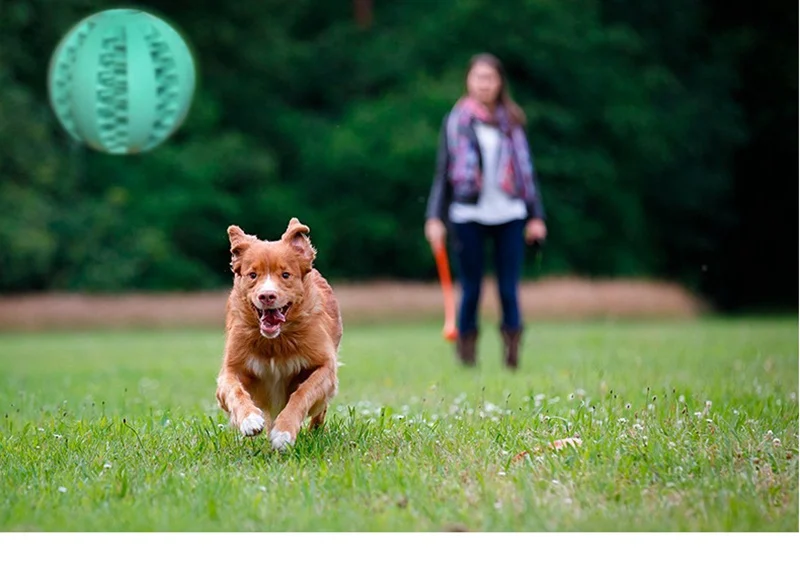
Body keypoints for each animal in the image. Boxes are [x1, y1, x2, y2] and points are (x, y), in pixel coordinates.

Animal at [217, 217, 342, 450]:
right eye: (252, 275)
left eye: (285, 275)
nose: (267, 296)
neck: (275, 342)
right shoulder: (230, 368)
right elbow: (234, 390)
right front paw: (250, 419)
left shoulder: (325, 366)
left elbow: (303, 392)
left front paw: (284, 432)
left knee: (320, 410)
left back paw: (315, 432)